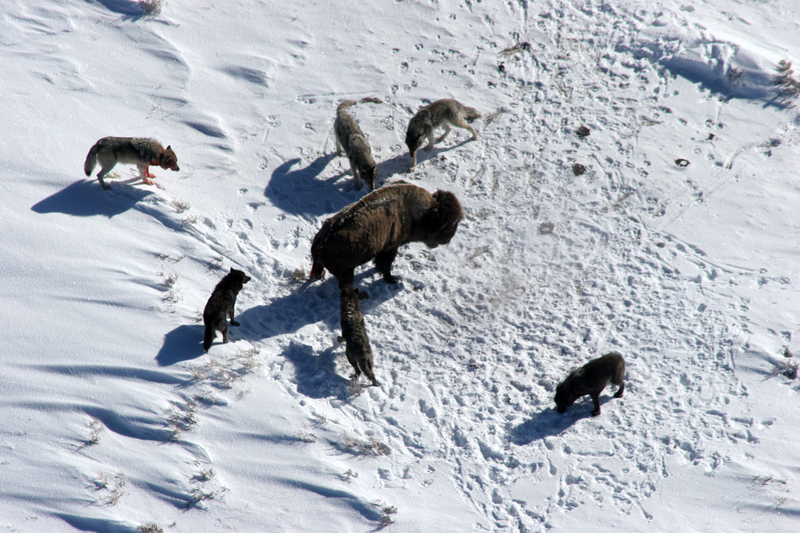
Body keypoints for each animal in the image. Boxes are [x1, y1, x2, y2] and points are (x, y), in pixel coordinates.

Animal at [309, 182, 463, 289]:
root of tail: (322, 242)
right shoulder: (391, 248)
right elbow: (386, 264)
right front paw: (391, 279)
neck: (420, 215)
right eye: (446, 227)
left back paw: (319, 276)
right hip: (346, 272)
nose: (449, 239)